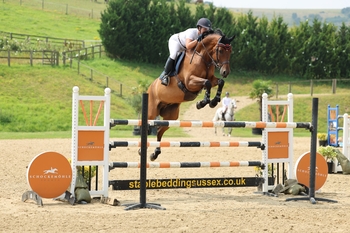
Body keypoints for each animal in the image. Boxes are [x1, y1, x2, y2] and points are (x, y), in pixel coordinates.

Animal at [146, 29, 234, 161]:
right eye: (220, 50)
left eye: (230, 51)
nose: (225, 72)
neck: (203, 58)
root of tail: (149, 88)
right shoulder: (189, 81)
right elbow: (207, 83)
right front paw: (203, 102)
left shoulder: (210, 78)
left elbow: (218, 82)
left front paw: (212, 101)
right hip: (152, 111)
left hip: (171, 116)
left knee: (160, 130)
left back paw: (154, 154)